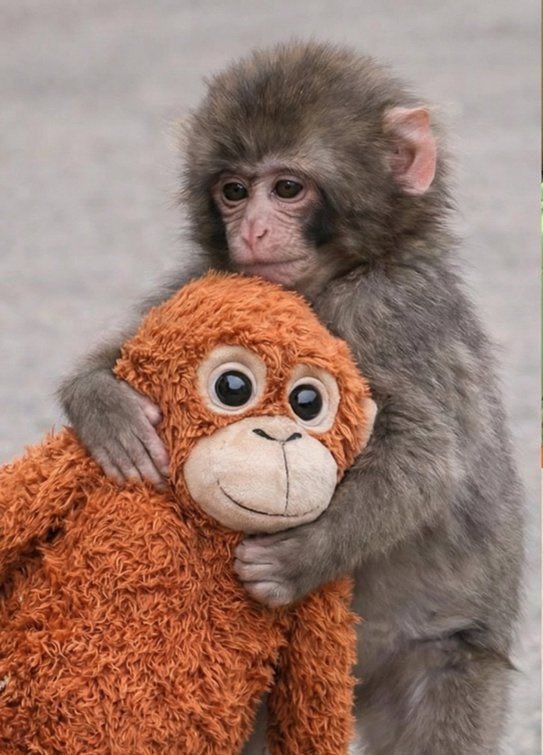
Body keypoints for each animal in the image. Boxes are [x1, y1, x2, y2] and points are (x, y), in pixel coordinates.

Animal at [59, 42, 523, 753]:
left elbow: (426, 457)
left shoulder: (394, 310)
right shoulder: (210, 280)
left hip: (446, 653)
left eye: (286, 188)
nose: (251, 231)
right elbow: (126, 353)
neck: (330, 281)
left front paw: (302, 557)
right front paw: (106, 410)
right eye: (233, 190)